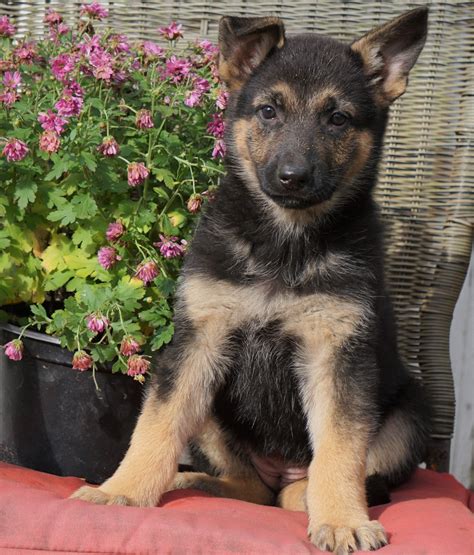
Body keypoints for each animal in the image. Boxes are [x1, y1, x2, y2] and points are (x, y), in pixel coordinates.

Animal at [72, 7, 432, 552]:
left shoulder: (338, 355)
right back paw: (195, 481)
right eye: (267, 112)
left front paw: (342, 520)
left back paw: (306, 496)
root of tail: (280, 469)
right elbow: (156, 425)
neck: (284, 243)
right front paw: (122, 491)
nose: (292, 177)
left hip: (409, 416)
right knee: (250, 488)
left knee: (312, 483)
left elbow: (340, 449)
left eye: (338, 119)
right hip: (210, 405)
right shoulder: (197, 342)